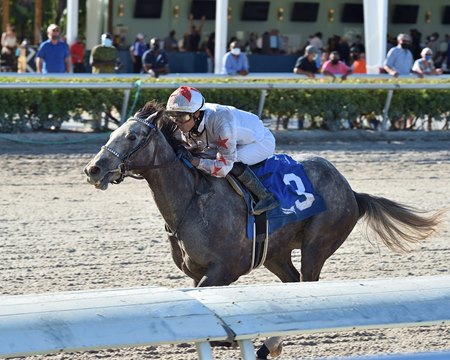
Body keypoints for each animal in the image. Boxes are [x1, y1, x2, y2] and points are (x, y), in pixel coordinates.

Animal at [84, 102, 442, 360]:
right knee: (291, 283)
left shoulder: (224, 269)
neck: (191, 200)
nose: (93, 169)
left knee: (306, 286)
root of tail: (351, 191)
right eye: (114, 133)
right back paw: (270, 346)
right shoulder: (199, 274)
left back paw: (268, 345)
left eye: (132, 137)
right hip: (275, 253)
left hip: (318, 243)